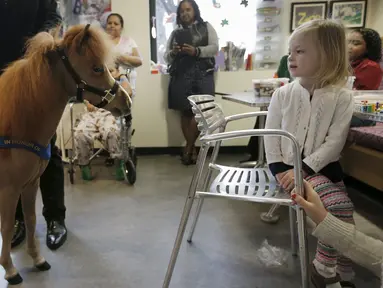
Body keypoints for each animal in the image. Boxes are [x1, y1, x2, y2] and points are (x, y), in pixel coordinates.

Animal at [0, 24, 130, 284]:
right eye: (97, 67)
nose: (126, 102)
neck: (16, 123)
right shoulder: (8, 189)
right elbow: (7, 226)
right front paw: (10, 270)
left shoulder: (29, 184)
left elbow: (30, 219)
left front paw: (38, 259)